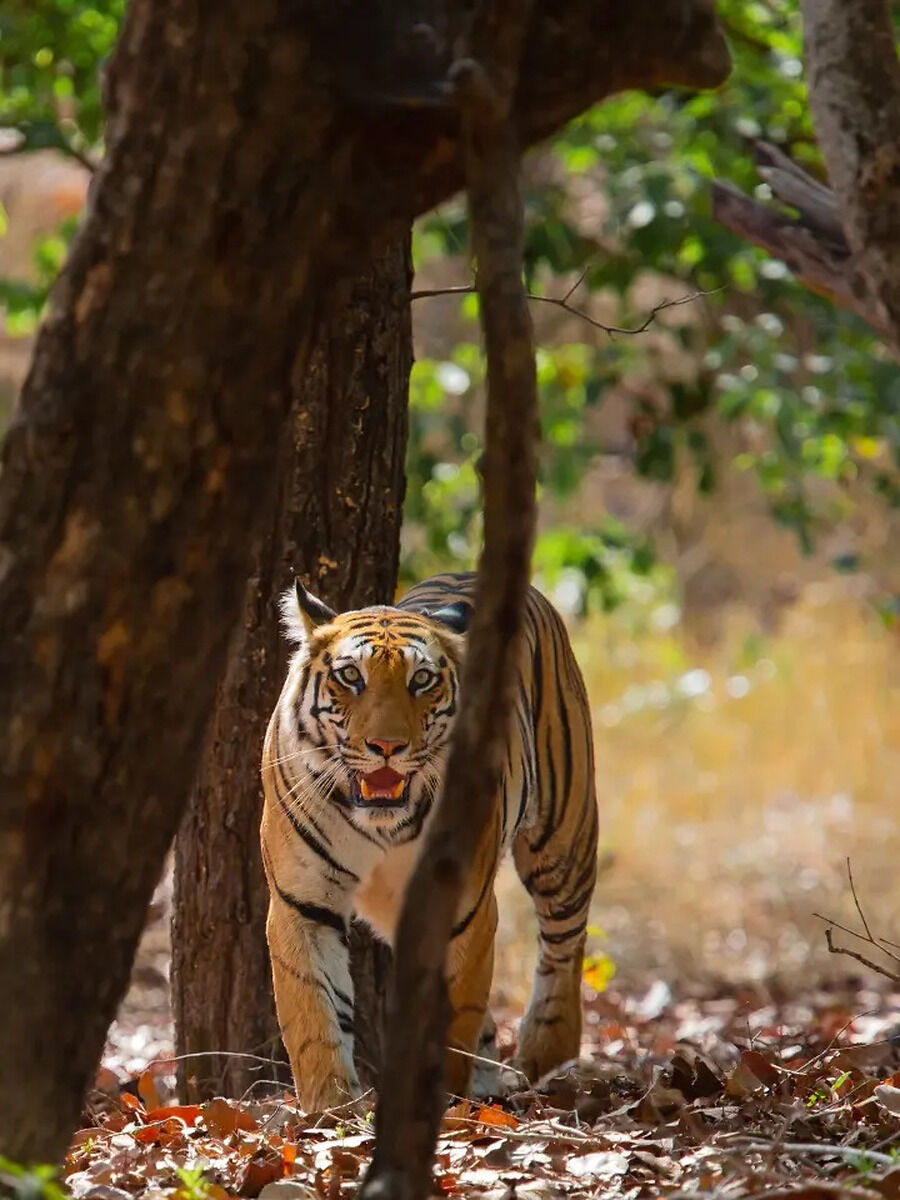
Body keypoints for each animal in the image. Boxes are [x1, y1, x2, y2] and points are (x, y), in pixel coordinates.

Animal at [260, 571, 598, 1112]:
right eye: (350, 676)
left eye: (421, 681)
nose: (387, 747)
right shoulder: (303, 903)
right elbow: (314, 1015)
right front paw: (330, 1108)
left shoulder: (464, 908)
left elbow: (454, 1019)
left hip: (562, 837)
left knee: (564, 945)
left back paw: (543, 1057)